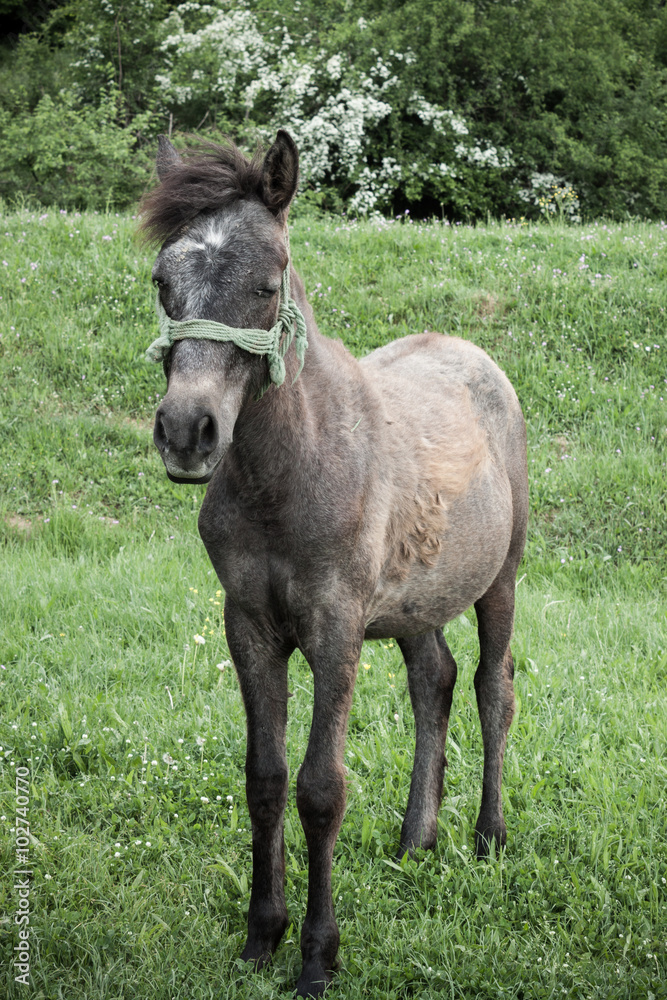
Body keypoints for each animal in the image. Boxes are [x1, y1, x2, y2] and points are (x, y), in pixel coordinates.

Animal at [140, 129, 528, 996]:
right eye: (162, 281)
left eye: (265, 283)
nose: (187, 432)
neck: (288, 472)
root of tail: (473, 354)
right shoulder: (249, 625)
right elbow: (264, 776)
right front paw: (262, 934)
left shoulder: (334, 626)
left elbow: (321, 788)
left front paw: (318, 956)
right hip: (417, 602)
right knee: (433, 679)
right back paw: (417, 838)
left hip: (501, 579)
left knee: (491, 687)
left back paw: (487, 837)